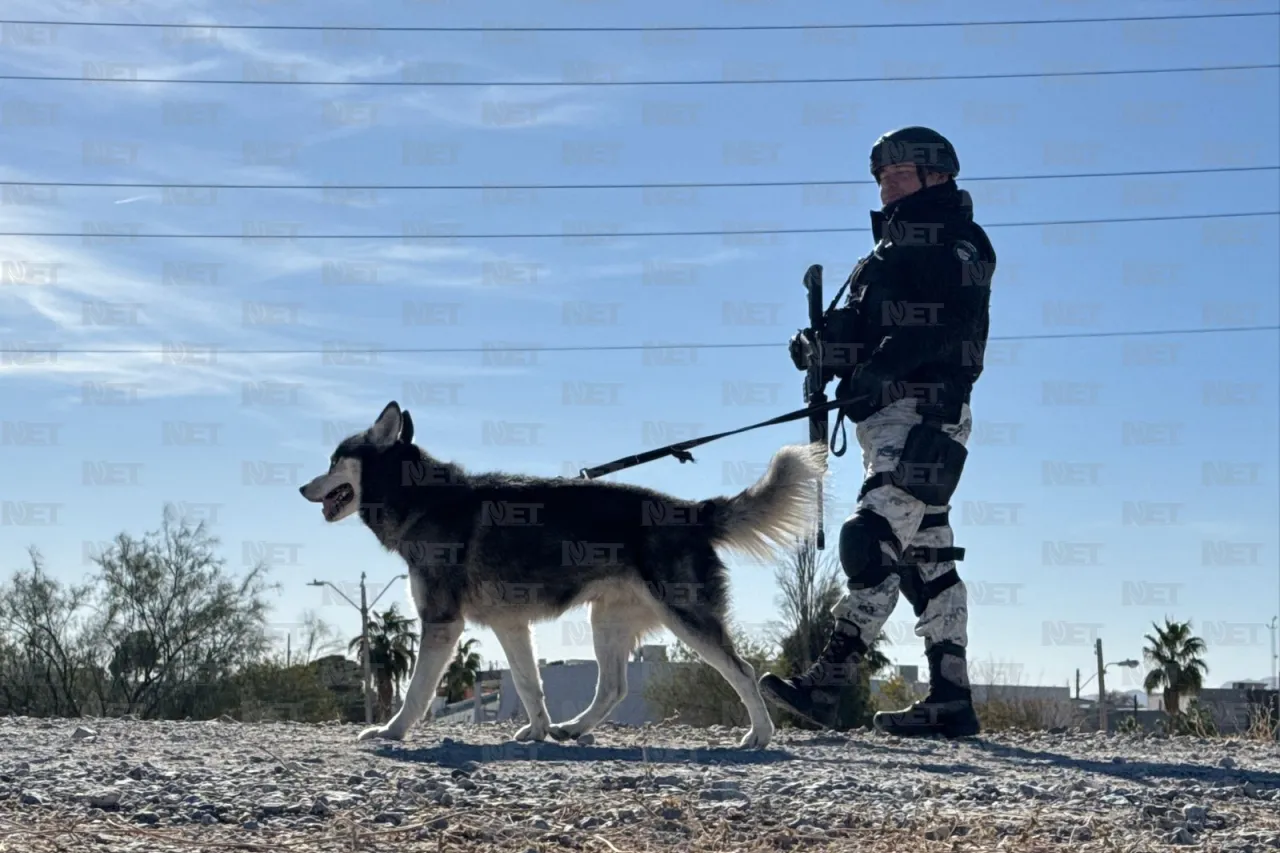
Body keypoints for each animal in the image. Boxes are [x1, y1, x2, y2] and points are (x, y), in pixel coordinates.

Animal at [298, 402, 824, 747]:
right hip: (607, 620)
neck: (424, 497)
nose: (302, 486)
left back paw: (759, 734)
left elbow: (417, 691)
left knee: (744, 671)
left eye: (334, 461)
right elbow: (530, 683)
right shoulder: (510, 625)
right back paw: (573, 728)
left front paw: (392, 730)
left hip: (687, 618)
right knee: (613, 687)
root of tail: (691, 510)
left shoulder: (442, 622)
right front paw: (537, 730)